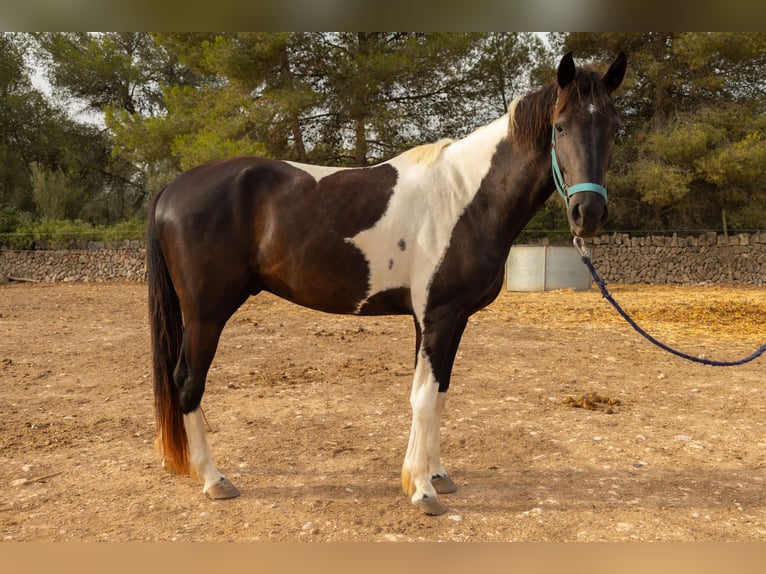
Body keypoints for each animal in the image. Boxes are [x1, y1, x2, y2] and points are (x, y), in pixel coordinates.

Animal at [147, 51, 627, 516]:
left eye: (613, 129)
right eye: (560, 126)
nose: (588, 213)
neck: (467, 198)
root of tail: (173, 187)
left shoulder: (447, 320)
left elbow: (437, 394)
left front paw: (434, 476)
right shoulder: (438, 317)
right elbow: (425, 398)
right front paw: (423, 492)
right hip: (206, 313)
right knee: (187, 381)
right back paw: (214, 480)